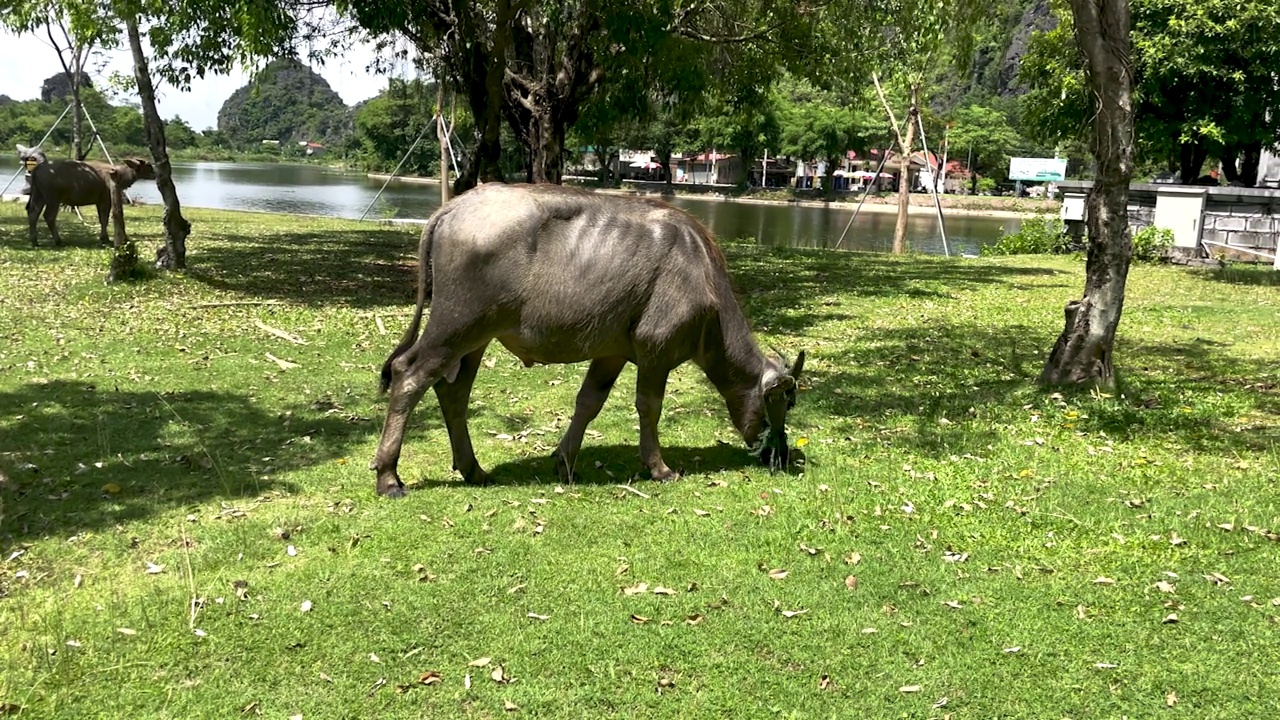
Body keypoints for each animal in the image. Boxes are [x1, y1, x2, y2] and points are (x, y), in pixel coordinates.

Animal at [25, 156, 154, 245]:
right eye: (148, 165)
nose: (155, 174)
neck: (119, 175)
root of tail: (37, 169)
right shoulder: (105, 199)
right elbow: (104, 219)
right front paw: (105, 239)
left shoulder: (99, 201)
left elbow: (102, 219)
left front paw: (103, 238)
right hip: (53, 198)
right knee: (49, 216)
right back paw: (58, 241)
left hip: (38, 195)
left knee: (33, 213)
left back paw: (34, 241)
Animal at [373, 180, 808, 491]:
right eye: (787, 402)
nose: (784, 454)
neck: (701, 276)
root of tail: (454, 206)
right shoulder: (655, 351)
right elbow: (649, 407)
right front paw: (659, 467)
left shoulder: (611, 353)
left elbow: (588, 402)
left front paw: (565, 461)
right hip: (457, 323)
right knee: (410, 375)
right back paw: (389, 476)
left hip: (475, 338)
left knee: (453, 392)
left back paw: (473, 469)